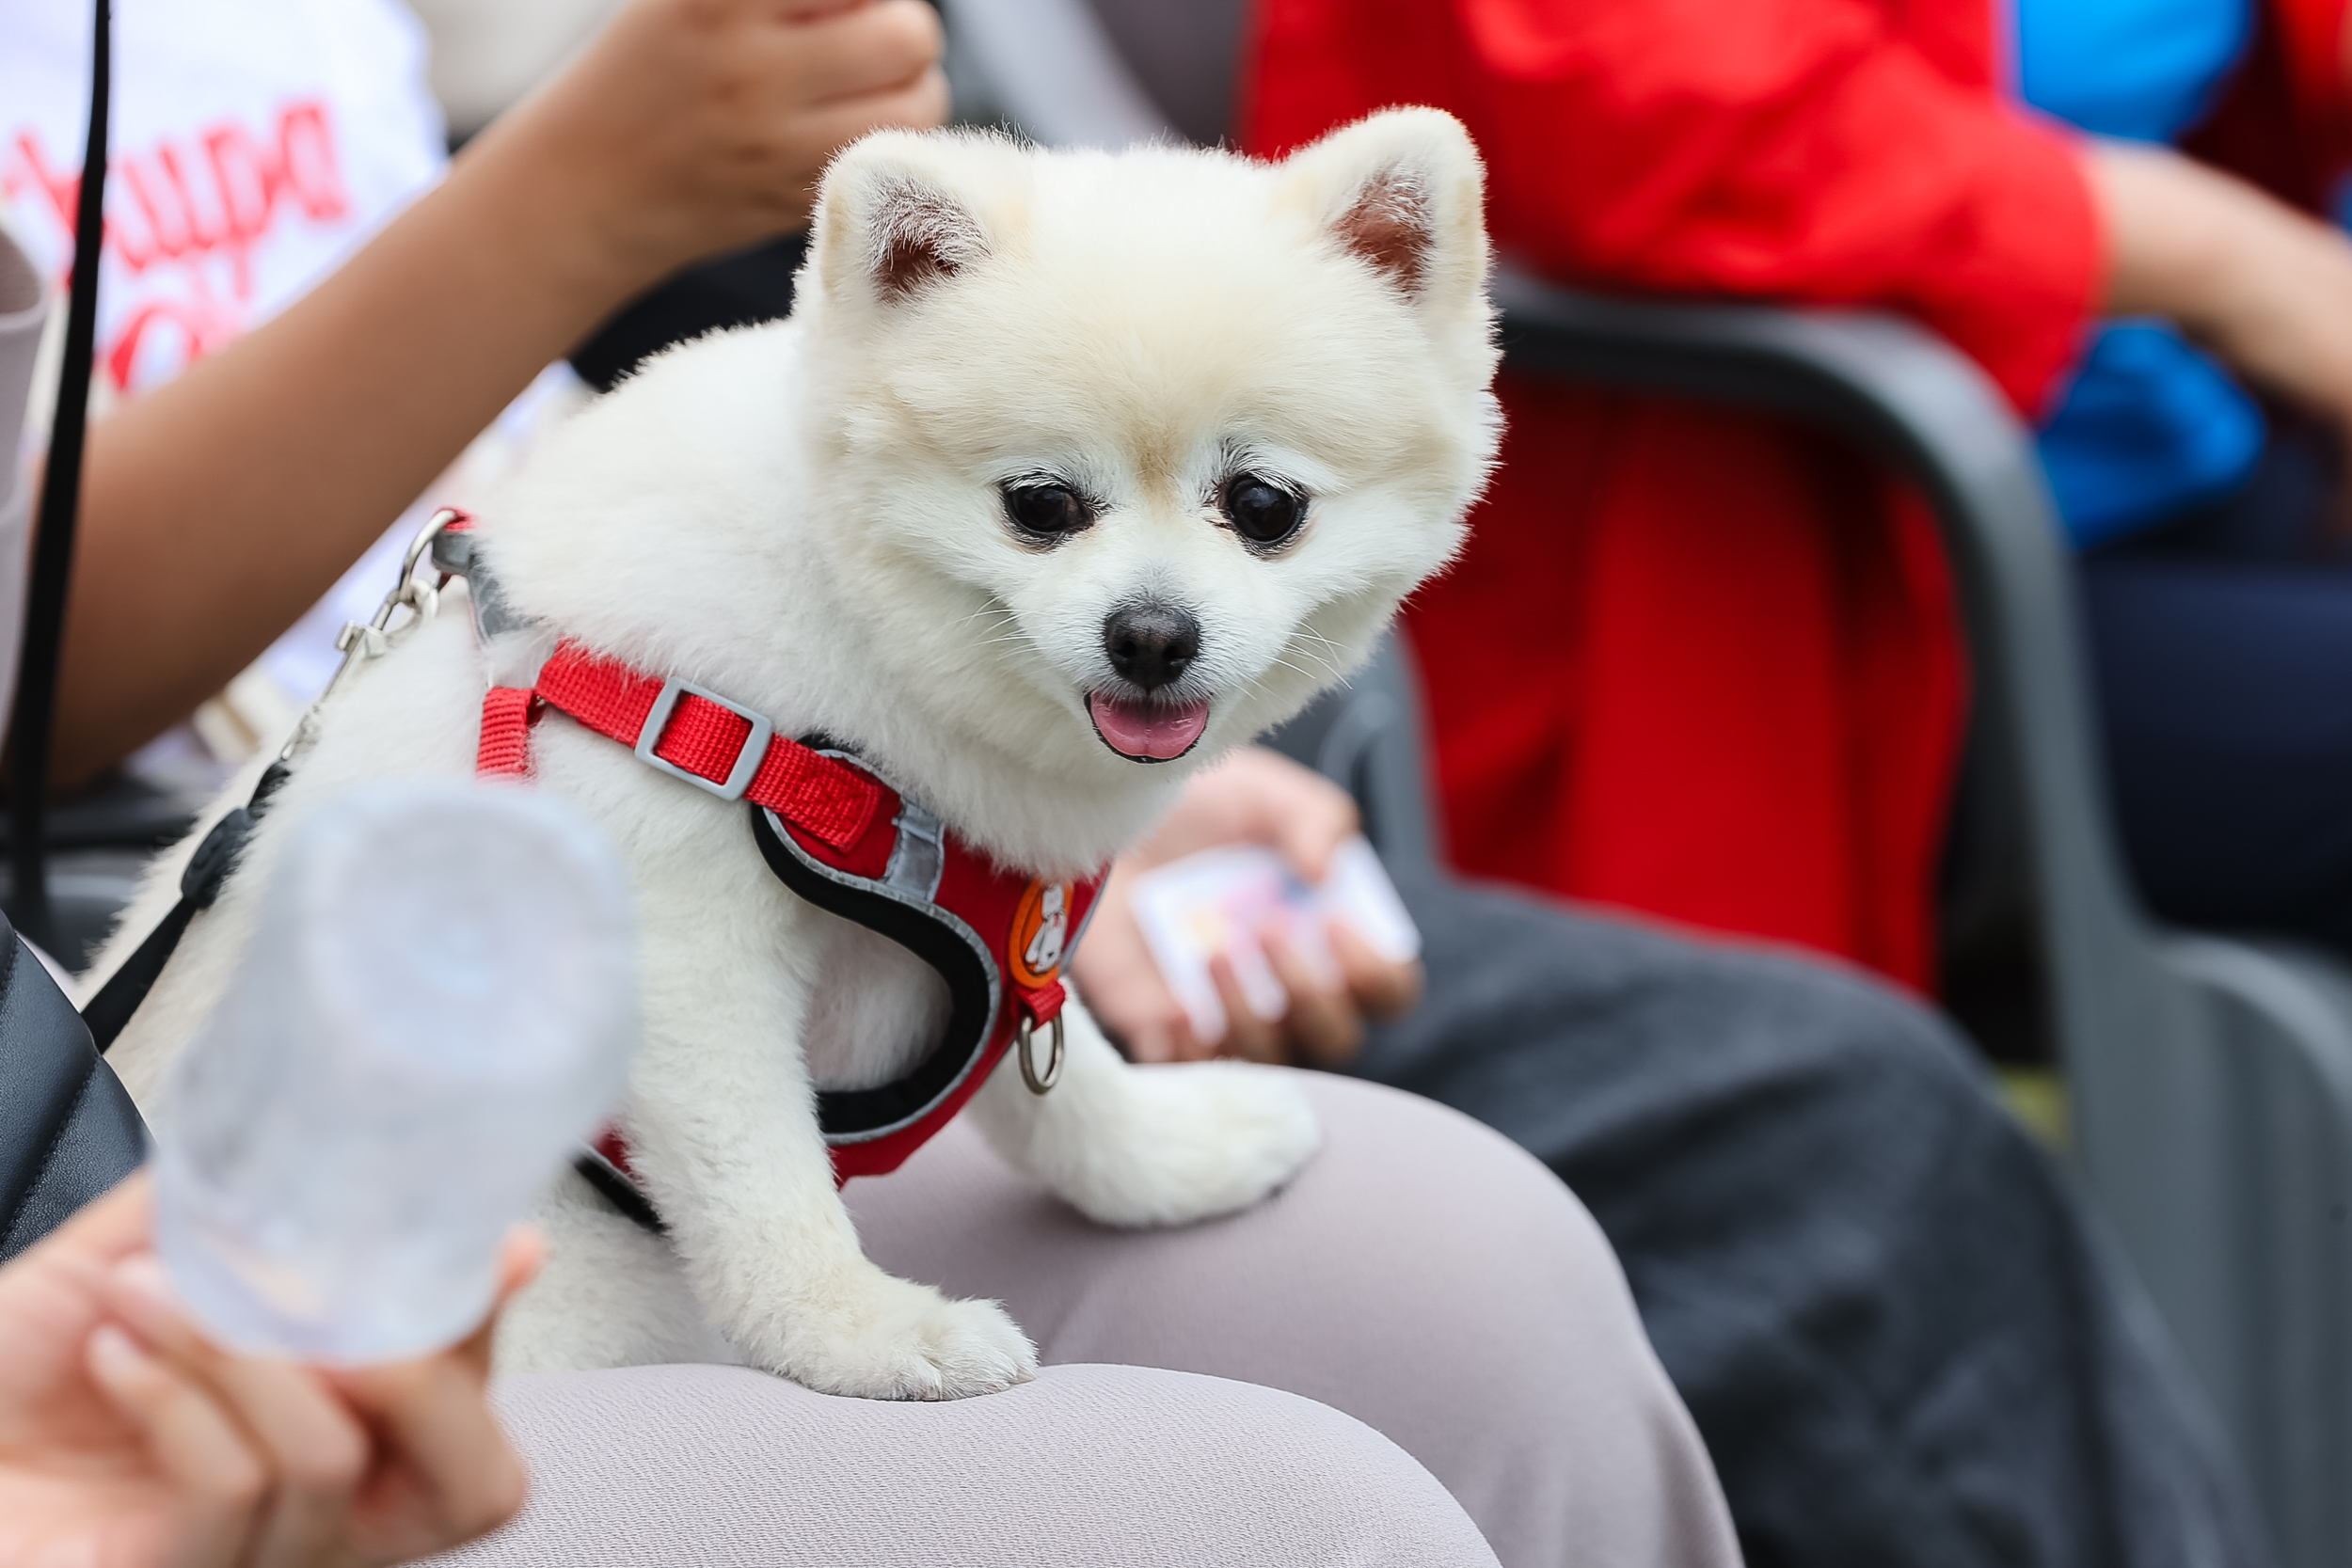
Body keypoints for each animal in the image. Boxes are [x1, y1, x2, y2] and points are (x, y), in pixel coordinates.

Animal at [101, 110, 1496, 1401]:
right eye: (1040, 505)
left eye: (1263, 506)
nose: (1151, 633)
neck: (850, 657)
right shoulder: (674, 934)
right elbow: (768, 1181)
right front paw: (865, 1332)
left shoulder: (1004, 940)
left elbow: (1061, 1086)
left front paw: (1172, 1157)